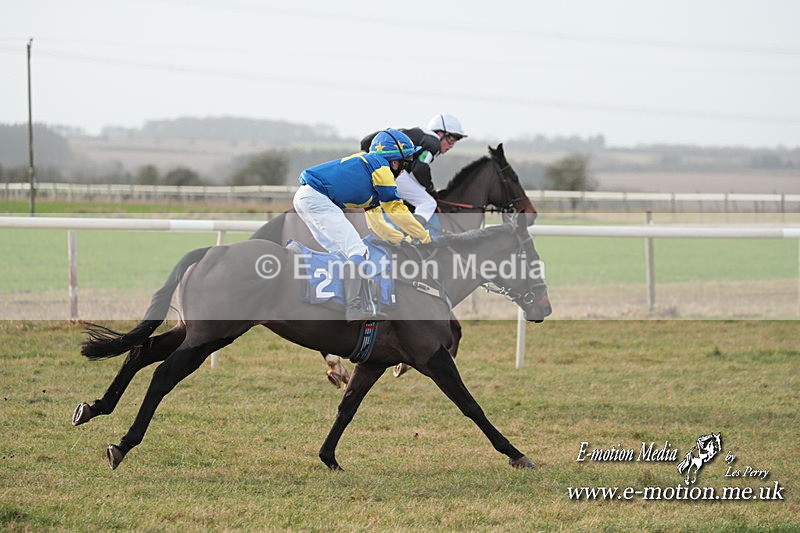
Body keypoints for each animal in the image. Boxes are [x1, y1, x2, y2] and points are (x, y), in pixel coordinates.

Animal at [72, 215, 551, 471]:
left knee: (141, 352)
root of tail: (211, 251)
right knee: (163, 374)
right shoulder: (432, 358)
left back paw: (93, 408)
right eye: (532, 259)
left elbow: (347, 407)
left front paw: (329, 457)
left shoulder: (374, 361)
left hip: (199, 330)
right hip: (212, 335)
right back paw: (123, 443)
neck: (427, 277)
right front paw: (517, 454)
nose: (544, 306)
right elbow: (472, 406)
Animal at [250, 144, 536, 387]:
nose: (531, 212)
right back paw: (336, 364)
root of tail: (288, 213)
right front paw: (406, 364)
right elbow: (455, 329)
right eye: (513, 178)